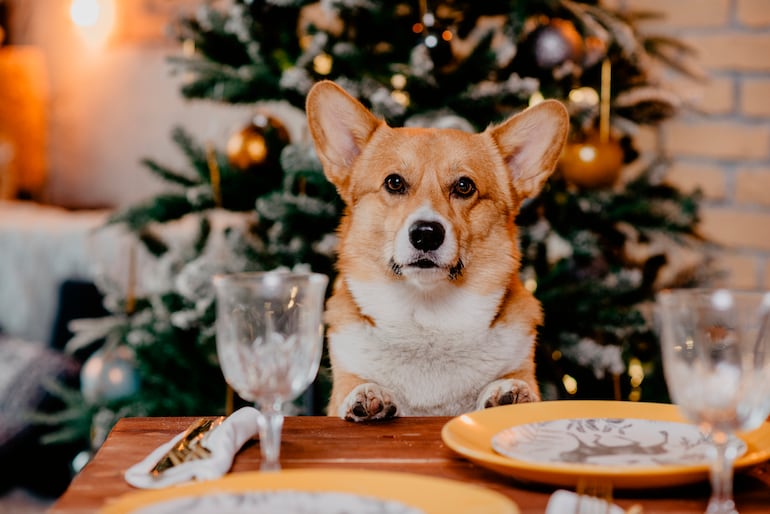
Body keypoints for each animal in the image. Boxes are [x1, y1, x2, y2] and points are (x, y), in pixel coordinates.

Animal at [304, 78, 564, 418]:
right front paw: (367, 395)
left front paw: (509, 392)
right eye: (394, 182)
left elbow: (513, 381)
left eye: (464, 186)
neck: (428, 320)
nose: (426, 234)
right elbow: (354, 385)